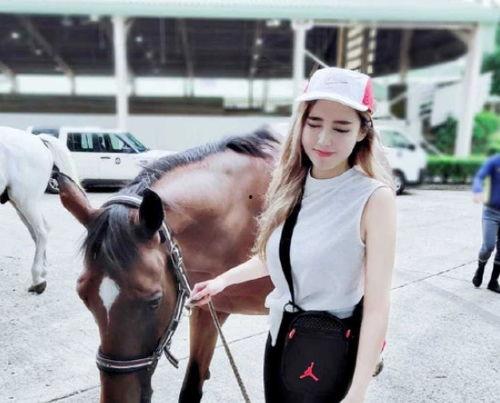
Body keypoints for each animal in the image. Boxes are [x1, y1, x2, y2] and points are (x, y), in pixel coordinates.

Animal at [0, 126, 79, 294]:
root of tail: (38, 140)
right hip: (21, 204)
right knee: (37, 232)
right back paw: (42, 273)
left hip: (25, 200)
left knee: (41, 231)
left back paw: (38, 279)